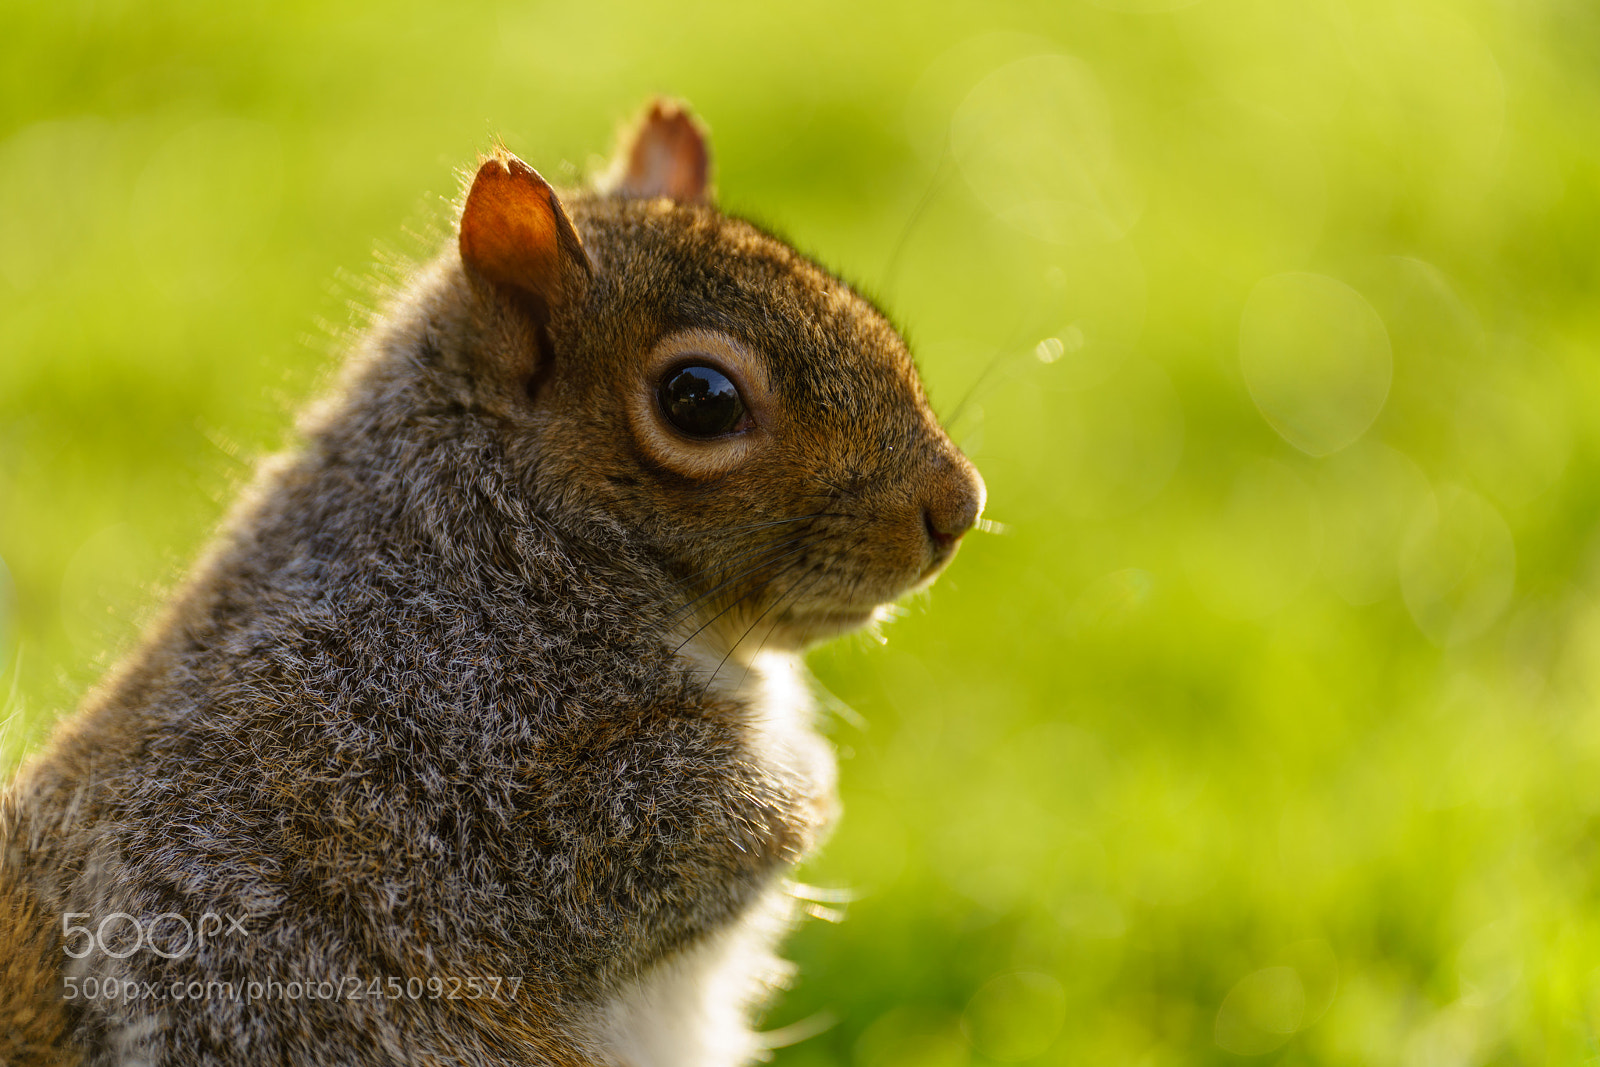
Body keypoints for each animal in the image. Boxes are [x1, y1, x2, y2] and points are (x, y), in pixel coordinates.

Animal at [0, 102, 979, 1067]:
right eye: (699, 398)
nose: (960, 506)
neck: (490, 537)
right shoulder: (444, 775)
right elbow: (682, 843)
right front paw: (812, 785)